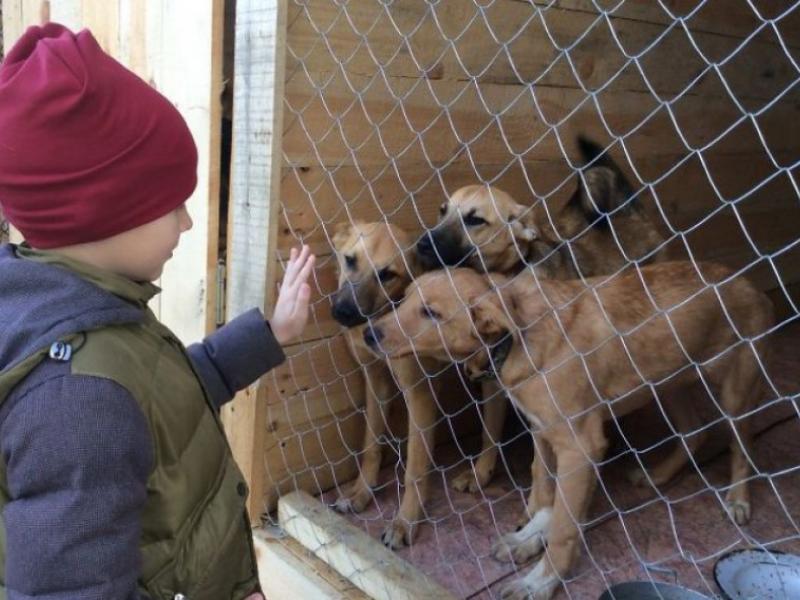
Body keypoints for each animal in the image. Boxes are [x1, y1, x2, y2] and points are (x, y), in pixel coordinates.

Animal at [328, 221, 446, 548]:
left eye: (387, 274)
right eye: (350, 260)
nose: (343, 313)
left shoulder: (419, 392)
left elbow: (415, 468)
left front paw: (405, 522)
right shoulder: (376, 380)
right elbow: (371, 444)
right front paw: (361, 492)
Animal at [368, 264, 776, 596]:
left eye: (431, 313)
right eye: (404, 298)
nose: (369, 333)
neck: (517, 337)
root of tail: (745, 280)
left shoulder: (581, 447)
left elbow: (565, 525)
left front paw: (539, 581)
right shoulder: (544, 433)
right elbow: (546, 492)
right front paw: (529, 538)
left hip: (736, 390)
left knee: (743, 444)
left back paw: (738, 499)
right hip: (668, 383)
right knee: (695, 430)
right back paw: (656, 475)